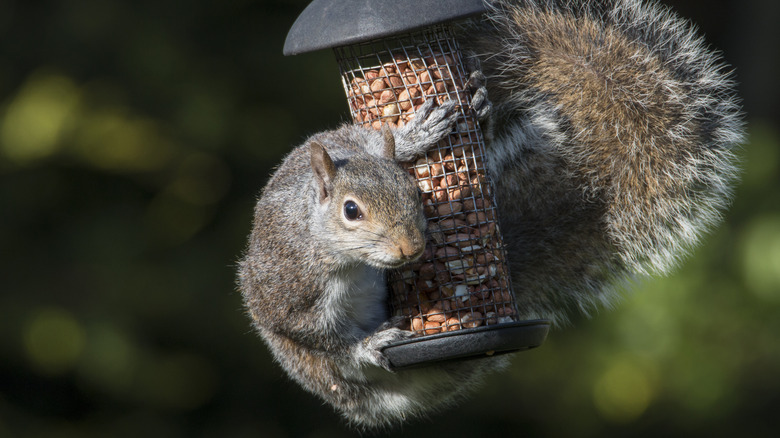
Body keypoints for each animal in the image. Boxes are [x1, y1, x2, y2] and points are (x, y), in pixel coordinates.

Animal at [236, 0, 744, 430]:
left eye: (414, 193)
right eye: (350, 211)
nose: (411, 248)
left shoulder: (346, 141)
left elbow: (373, 139)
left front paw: (418, 135)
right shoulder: (291, 294)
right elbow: (326, 340)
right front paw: (369, 343)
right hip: (319, 372)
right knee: (340, 366)